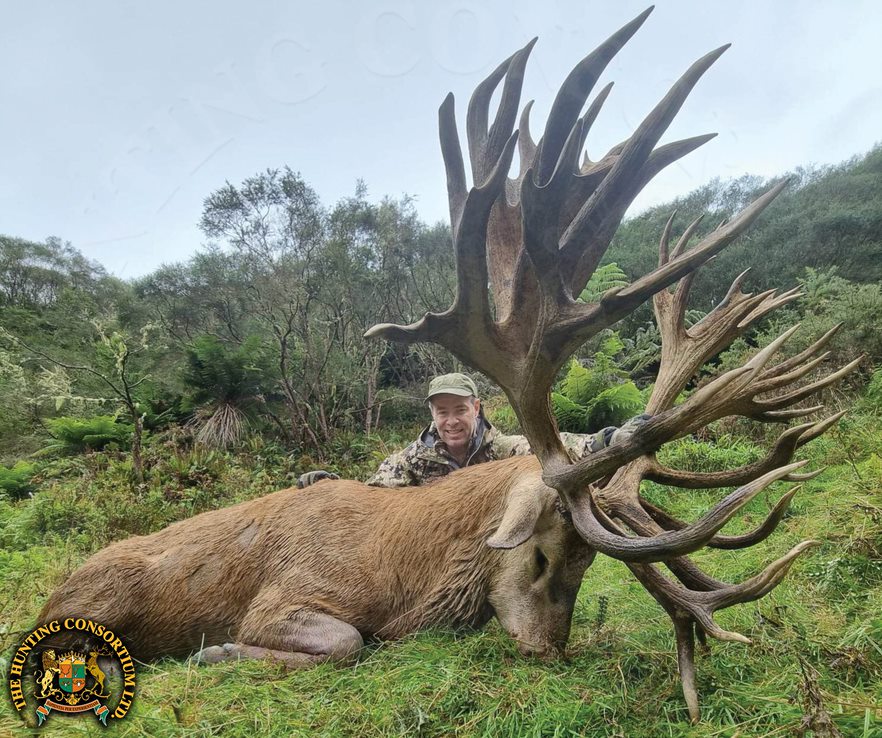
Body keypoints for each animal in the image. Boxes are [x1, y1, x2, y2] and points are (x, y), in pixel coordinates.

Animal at [39, 8, 857, 723]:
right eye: (542, 557)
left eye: (587, 567)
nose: (547, 650)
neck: (403, 573)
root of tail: (57, 584)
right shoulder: (287, 596)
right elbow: (348, 641)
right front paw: (213, 653)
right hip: (96, 596)